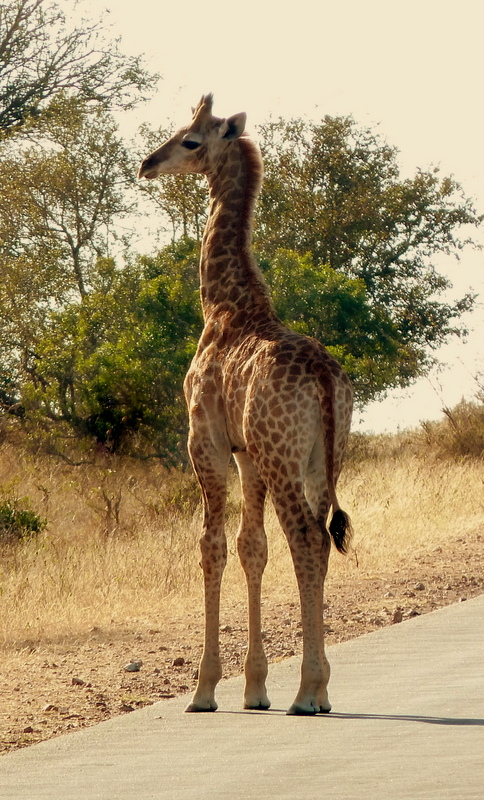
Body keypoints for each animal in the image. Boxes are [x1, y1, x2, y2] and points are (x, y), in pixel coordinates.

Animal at [138, 95, 353, 715]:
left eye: (190, 140)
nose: (147, 164)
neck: (224, 306)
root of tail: (326, 380)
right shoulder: (248, 453)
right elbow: (251, 546)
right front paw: (255, 687)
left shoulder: (206, 443)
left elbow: (211, 545)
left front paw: (205, 689)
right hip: (321, 457)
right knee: (319, 541)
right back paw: (319, 690)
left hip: (284, 458)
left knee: (306, 538)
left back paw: (307, 693)